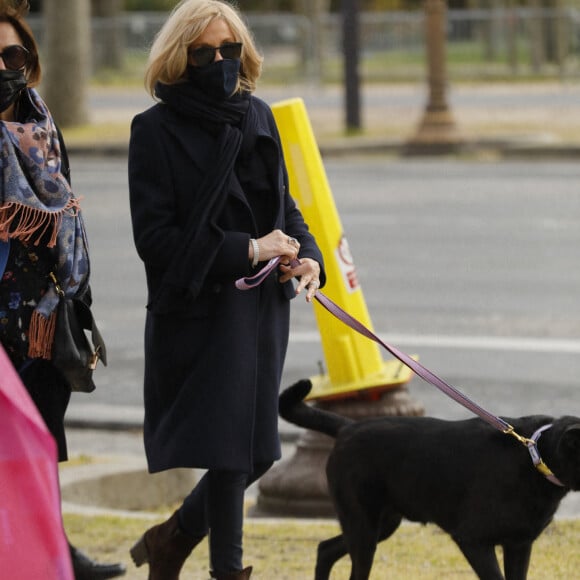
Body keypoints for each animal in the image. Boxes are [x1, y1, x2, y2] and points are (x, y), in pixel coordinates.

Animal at [278, 380, 580, 580]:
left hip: (381, 523)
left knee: (325, 549)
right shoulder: (473, 540)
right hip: (363, 525)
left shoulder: (519, 545)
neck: (536, 454)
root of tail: (348, 427)